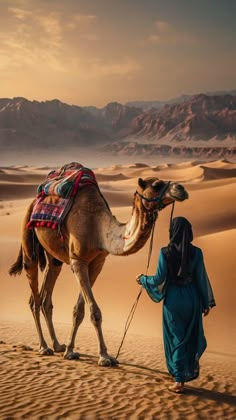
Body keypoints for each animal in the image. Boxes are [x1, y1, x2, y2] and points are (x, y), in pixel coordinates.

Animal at [9, 166, 188, 366]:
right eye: (156, 185)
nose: (181, 189)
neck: (99, 230)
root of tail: (34, 201)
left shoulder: (97, 263)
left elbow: (79, 311)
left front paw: (72, 350)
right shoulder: (78, 260)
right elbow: (94, 311)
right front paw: (102, 357)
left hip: (54, 257)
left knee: (47, 295)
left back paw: (57, 345)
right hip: (28, 239)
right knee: (34, 297)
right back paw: (44, 347)